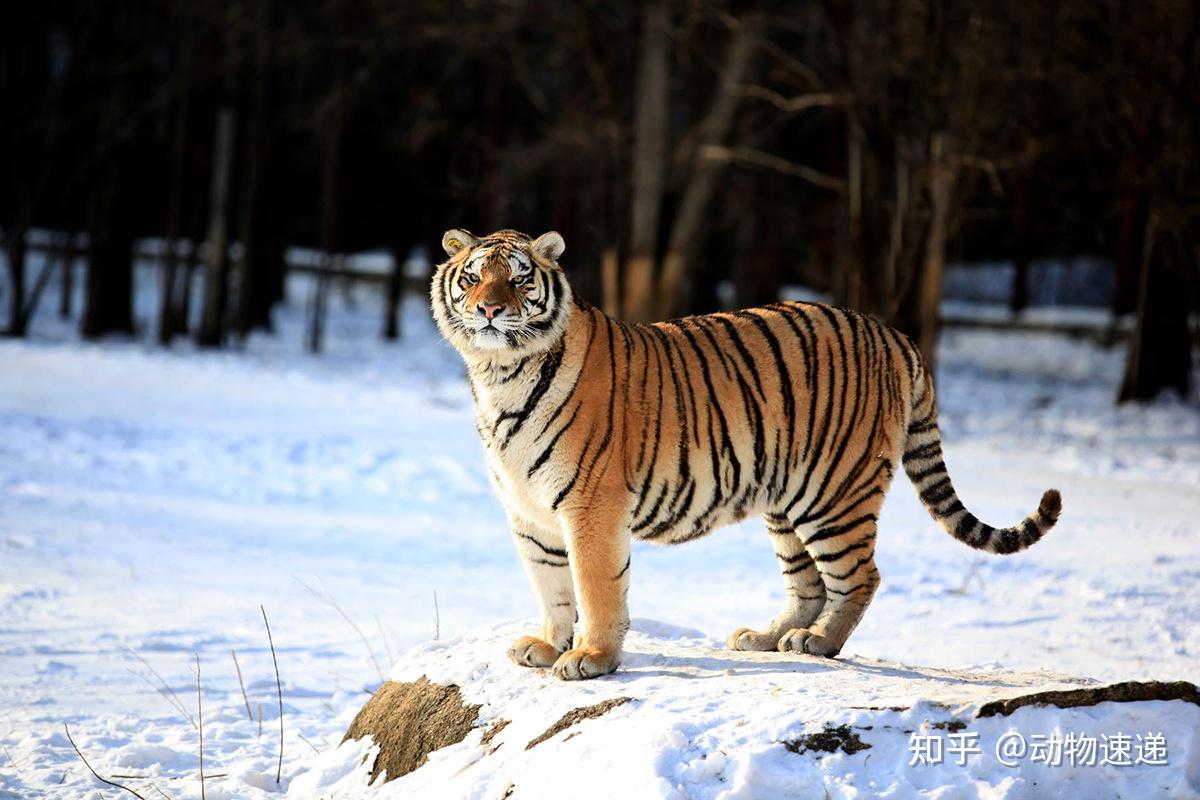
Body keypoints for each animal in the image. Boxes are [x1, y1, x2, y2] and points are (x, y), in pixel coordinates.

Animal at [429, 226, 1060, 681]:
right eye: (474, 278)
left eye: (518, 279)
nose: (489, 309)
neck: (499, 375)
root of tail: (894, 335)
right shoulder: (528, 511)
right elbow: (553, 587)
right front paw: (544, 645)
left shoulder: (590, 505)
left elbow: (595, 585)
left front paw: (592, 658)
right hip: (788, 499)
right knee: (808, 583)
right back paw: (765, 637)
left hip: (835, 495)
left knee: (861, 575)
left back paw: (818, 642)